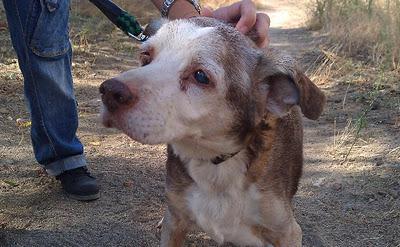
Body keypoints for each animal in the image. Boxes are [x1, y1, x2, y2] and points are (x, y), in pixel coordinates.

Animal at [99, 16, 324, 246]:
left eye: (200, 76)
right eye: (146, 56)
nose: (110, 91)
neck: (215, 165)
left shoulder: (287, 232)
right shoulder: (175, 225)